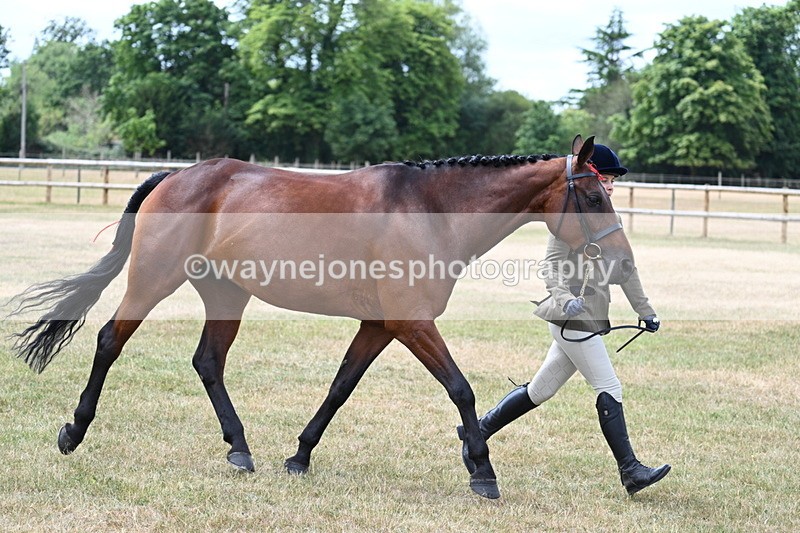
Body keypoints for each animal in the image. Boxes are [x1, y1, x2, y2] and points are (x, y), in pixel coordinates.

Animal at [8, 135, 634, 499]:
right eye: (594, 198)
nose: (622, 262)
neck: (428, 209)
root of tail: (180, 174)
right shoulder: (411, 323)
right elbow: (460, 389)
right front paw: (482, 472)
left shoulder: (380, 327)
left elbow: (339, 389)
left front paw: (299, 456)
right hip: (154, 279)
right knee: (110, 340)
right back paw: (73, 431)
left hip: (226, 296)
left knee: (207, 362)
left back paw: (240, 449)